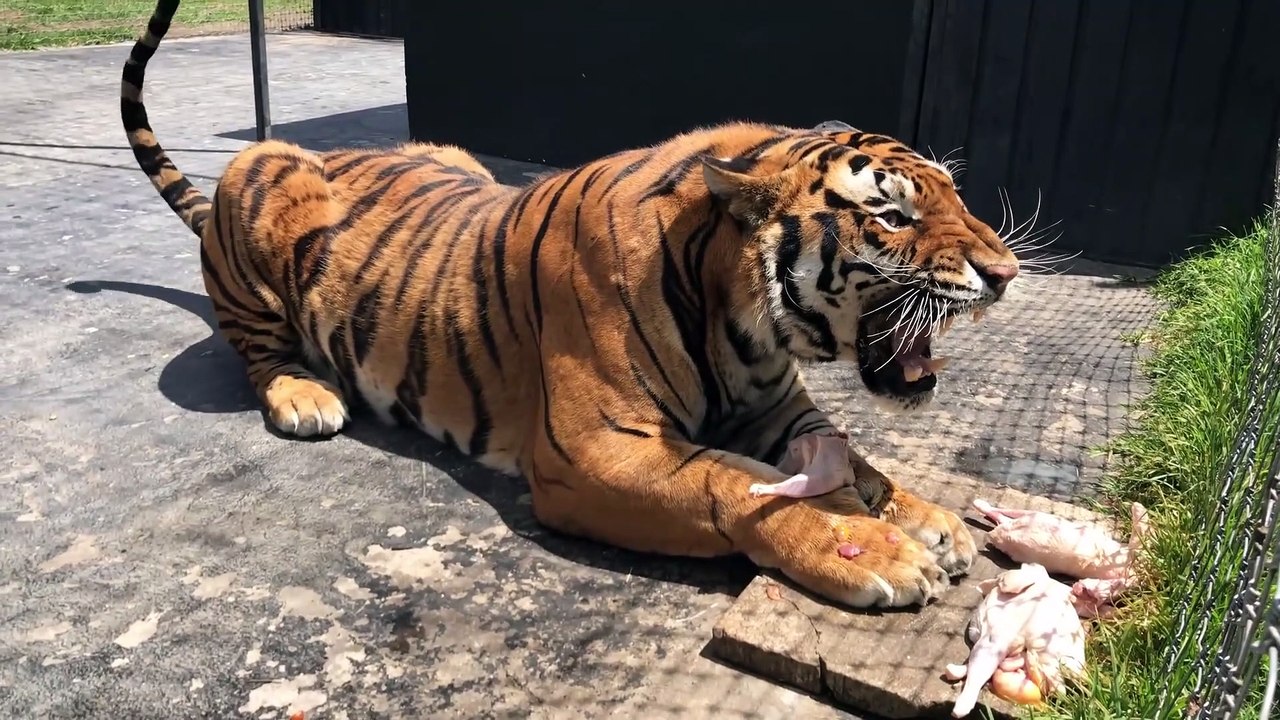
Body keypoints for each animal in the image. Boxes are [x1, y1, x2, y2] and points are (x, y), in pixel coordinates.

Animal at [122, 0, 1019, 609]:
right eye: (893, 215)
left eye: (953, 194)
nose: (1007, 272)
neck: (745, 323)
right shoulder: (594, 451)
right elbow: (732, 486)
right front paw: (872, 550)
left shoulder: (779, 411)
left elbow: (856, 462)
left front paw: (928, 519)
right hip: (260, 173)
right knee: (256, 349)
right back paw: (305, 395)